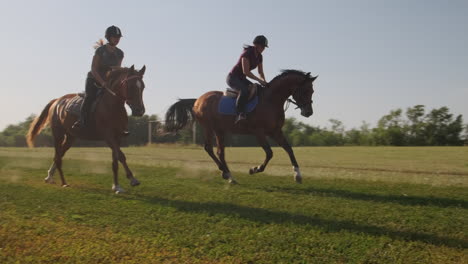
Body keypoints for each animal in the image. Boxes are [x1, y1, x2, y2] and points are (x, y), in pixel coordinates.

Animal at [26, 65, 146, 194]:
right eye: (130, 86)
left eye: (143, 87)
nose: (140, 111)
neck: (112, 105)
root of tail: (56, 101)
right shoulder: (108, 136)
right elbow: (121, 156)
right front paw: (133, 179)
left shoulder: (117, 137)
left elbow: (115, 160)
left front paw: (116, 186)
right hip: (58, 134)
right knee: (58, 157)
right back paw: (63, 182)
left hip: (70, 137)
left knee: (60, 154)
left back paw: (49, 177)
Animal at [165, 69, 318, 184]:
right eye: (305, 91)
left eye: (312, 91)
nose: (309, 112)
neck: (271, 101)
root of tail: (197, 100)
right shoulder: (259, 132)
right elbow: (269, 153)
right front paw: (254, 169)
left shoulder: (275, 131)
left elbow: (289, 149)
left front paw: (297, 175)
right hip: (210, 128)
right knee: (210, 148)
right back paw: (228, 175)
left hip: (219, 130)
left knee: (219, 151)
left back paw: (226, 174)